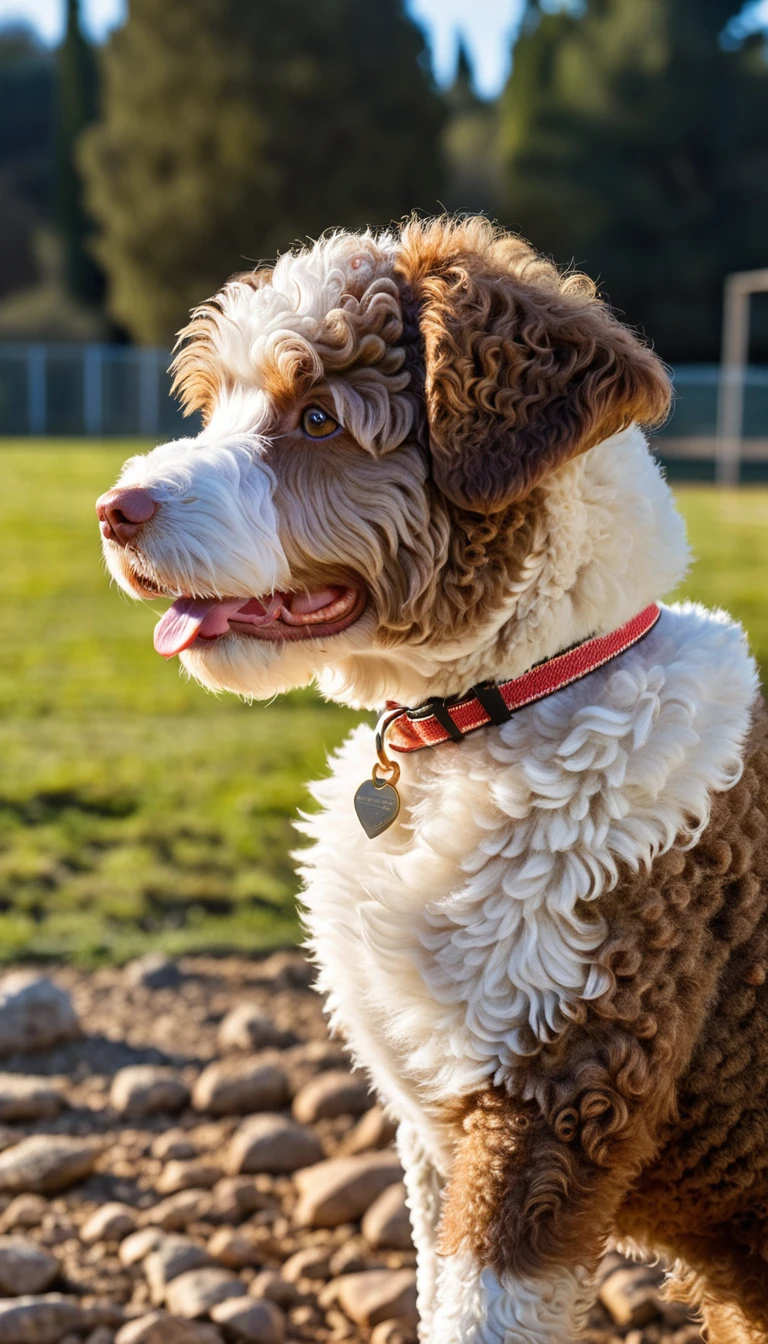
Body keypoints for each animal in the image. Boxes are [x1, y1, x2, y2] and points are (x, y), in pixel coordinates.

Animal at [97, 220, 768, 1344]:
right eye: (218, 400)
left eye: (318, 415)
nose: (114, 510)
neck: (493, 714)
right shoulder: (435, 1115)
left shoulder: (558, 1093)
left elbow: (477, 1309)